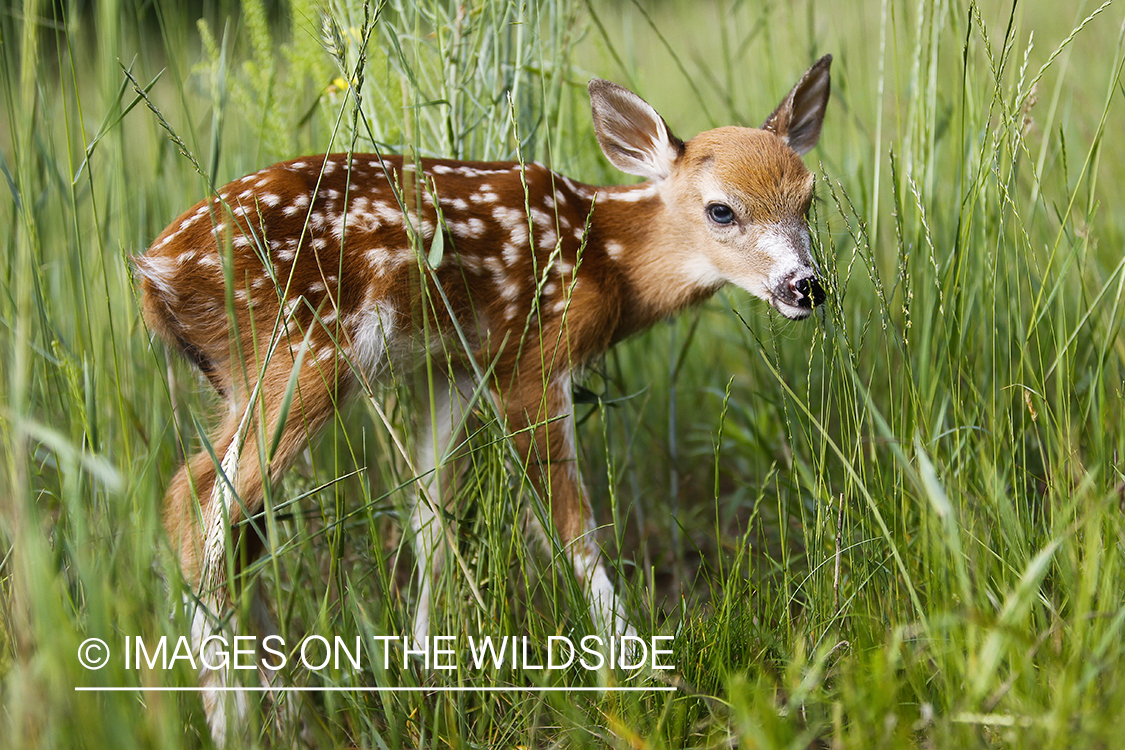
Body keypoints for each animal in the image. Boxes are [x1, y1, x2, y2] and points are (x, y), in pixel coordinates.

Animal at [135, 55, 831, 743]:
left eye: (809, 198)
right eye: (721, 210)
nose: (805, 287)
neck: (605, 258)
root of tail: (154, 272)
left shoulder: (450, 371)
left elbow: (430, 515)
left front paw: (427, 672)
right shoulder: (531, 358)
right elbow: (569, 526)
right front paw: (640, 670)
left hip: (242, 377)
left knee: (232, 523)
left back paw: (277, 713)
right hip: (304, 352)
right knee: (196, 502)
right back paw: (235, 721)